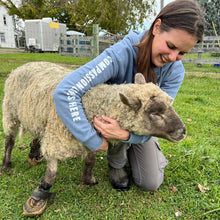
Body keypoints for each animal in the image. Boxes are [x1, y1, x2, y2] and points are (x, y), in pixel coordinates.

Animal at [1, 61, 186, 216]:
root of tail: (25, 65)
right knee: (9, 140)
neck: (89, 105)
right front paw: (41, 193)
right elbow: (52, 173)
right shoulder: (56, 140)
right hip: (10, 111)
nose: (183, 131)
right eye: (155, 113)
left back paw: (33, 154)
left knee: (37, 134)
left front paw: (87, 179)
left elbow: (90, 160)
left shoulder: (93, 138)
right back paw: (6, 164)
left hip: (36, 116)